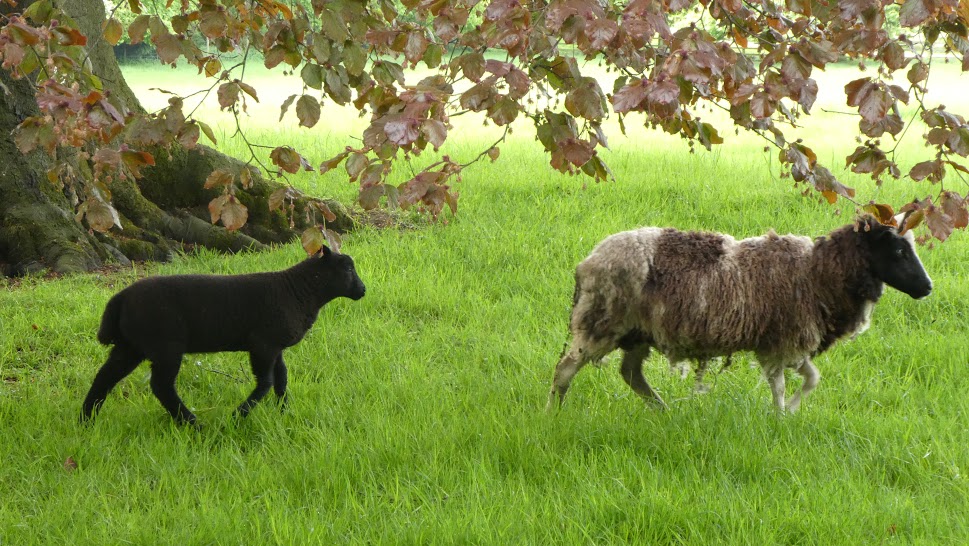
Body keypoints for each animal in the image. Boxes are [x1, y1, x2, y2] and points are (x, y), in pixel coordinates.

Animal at [81, 246, 366, 425]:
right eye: (348, 269)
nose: (363, 290)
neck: (299, 290)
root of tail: (120, 298)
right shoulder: (263, 345)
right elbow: (266, 383)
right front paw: (238, 416)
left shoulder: (276, 347)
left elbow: (282, 380)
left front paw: (283, 411)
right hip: (166, 347)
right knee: (161, 387)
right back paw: (192, 424)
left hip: (131, 347)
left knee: (105, 378)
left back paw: (87, 419)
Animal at [547, 216, 932, 413]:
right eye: (899, 251)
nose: (927, 287)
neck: (818, 272)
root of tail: (587, 262)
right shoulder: (782, 340)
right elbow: (781, 386)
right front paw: (781, 416)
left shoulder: (788, 343)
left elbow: (812, 379)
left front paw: (790, 412)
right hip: (602, 320)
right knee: (566, 368)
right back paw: (554, 413)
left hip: (637, 332)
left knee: (631, 374)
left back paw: (664, 411)